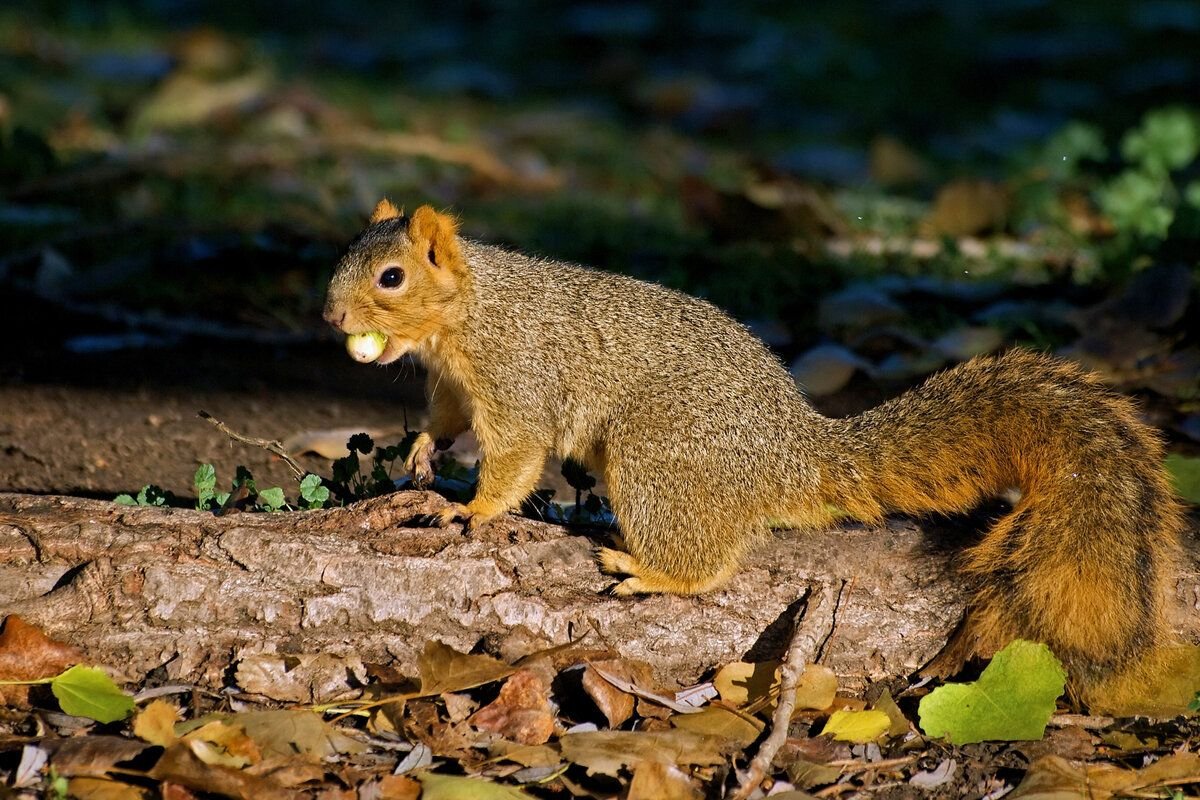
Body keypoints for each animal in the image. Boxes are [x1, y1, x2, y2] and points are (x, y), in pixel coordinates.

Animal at [324, 200, 1185, 705]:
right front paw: (425, 451)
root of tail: (793, 455)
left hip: (658, 457)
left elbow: (515, 453)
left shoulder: (516, 377)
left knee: (711, 565)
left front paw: (472, 510)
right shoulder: (452, 384)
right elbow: (443, 418)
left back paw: (653, 572)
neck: (467, 312)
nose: (332, 317)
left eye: (391, 277)